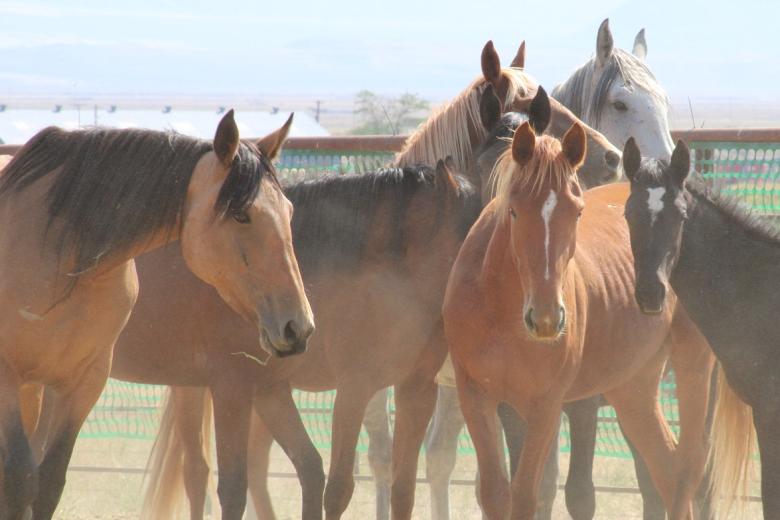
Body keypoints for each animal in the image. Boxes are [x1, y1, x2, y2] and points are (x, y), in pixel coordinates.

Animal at [0, 110, 314, 519]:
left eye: (289, 211)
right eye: (242, 214)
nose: (298, 326)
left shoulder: (84, 382)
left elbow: (49, 480)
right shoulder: (6, 375)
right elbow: (19, 478)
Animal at [442, 120, 714, 519]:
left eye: (577, 212)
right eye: (514, 211)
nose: (546, 319)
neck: (500, 310)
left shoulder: (546, 407)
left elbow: (528, 495)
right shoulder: (476, 397)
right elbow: (495, 493)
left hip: (693, 365)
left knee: (688, 468)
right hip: (632, 385)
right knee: (665, 465)